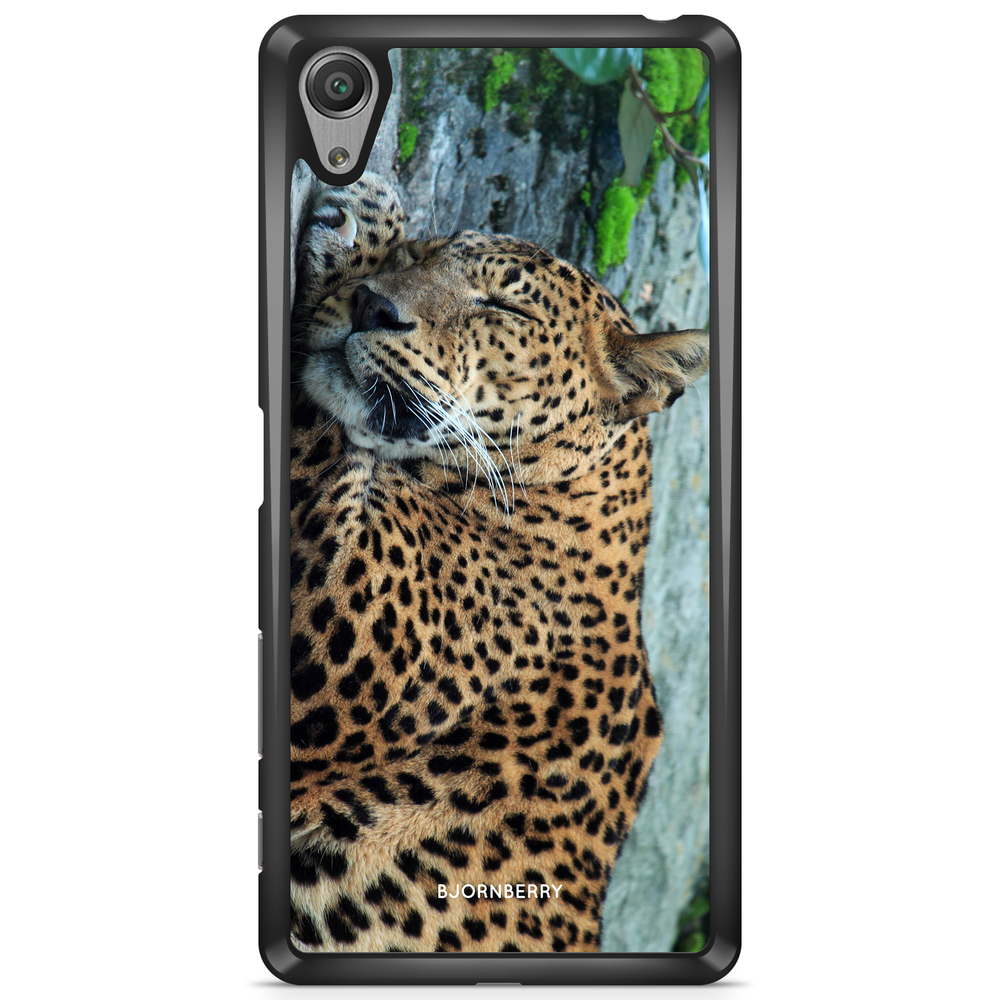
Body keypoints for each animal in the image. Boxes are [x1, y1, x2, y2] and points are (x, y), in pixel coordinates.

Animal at [288, 170, 709, 953]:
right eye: (427, 254)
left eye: (503, 306)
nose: (373, 305)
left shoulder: (341, 616)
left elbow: (321, 427)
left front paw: (362, 218)